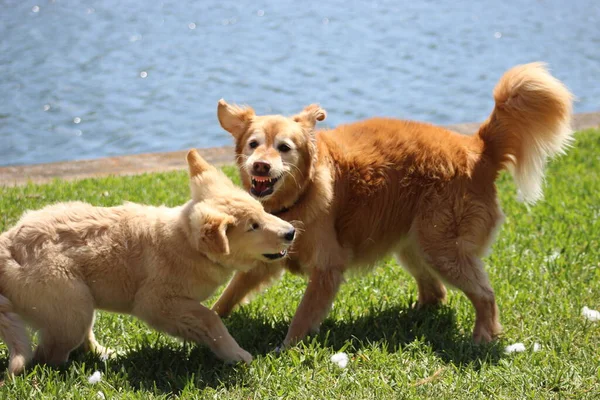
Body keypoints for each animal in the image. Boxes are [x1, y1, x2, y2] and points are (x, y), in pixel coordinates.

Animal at [0, 149, 296, 376]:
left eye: (262, 211)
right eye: (253, 226)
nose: (291, 232)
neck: (186, 243)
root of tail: (8, 244)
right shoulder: (155, 302)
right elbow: (210, 318)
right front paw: (235, 354)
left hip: (77, 305)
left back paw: (105, 354)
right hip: (69, 304)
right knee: (47, 356)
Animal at [213, 62, 576, 346]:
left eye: (284, 147)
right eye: (253, 144)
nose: (261, 166)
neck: (301, 193)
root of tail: (478, 149)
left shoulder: (328, 267)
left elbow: (302, 317)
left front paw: (286, 347)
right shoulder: (266, 260)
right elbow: (229, 294)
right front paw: (211, 323)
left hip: (442, 247)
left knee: (484, 294)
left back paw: (483, 336)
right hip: (415, 244)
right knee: (436, 293)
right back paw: (411, 318)